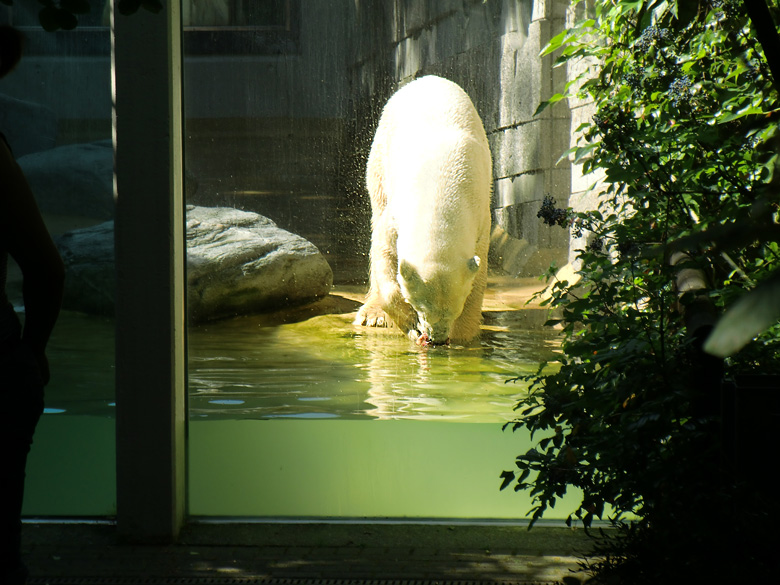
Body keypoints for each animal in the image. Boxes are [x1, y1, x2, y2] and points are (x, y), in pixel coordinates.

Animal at [354, 75, 490, 344]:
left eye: (454, 309)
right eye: (421, 306)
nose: (436, 337)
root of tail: (427, 78)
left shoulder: (481, 216)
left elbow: (478, 274)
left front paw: (463, 335)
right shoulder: (396, 212)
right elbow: (384, 250)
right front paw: (407, 323)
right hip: (380, 152)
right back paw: (373, 315)